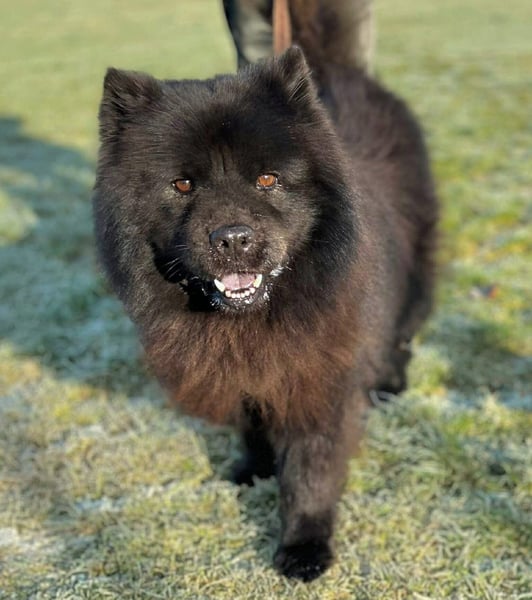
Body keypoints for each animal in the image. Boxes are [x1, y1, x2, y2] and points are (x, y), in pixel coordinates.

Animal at [93, 0, 437, 582]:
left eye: (268, 180)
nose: (233, 238)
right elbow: (251, 422)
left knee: (405, 327)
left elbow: (310, 471)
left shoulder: (321, 379)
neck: (254, 321)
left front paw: (303, 548)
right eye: (182, 184)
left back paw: (390, 383)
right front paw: (252, 469)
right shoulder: (246, 374)